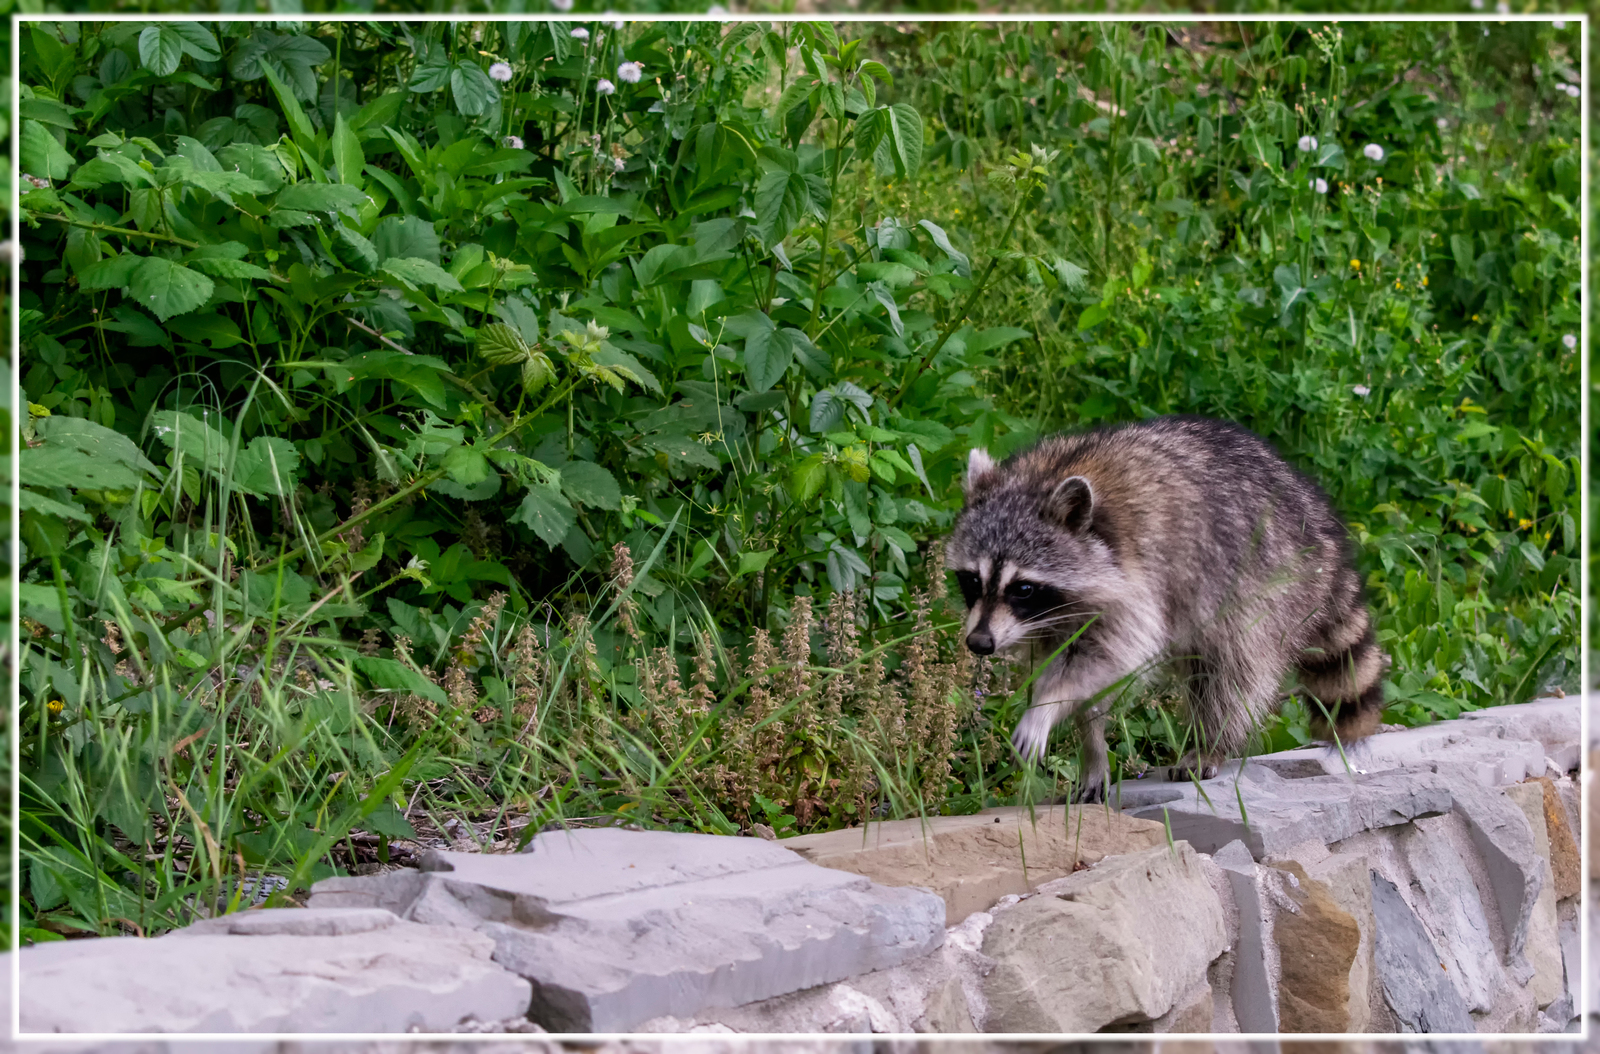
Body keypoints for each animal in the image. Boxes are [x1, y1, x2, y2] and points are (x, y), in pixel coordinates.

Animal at [947, 412, 1388, 799]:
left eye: (1022, 588)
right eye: (972, 580)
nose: (979, 643)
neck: (1044, 475)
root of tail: (1320, 524)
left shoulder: (1140, 584)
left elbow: (1108, 660)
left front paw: (1048, 705)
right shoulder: (1052, 618)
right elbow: (1080, 679)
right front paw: (1091, 744)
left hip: (1265, 584)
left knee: (1232, 673)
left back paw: (1211, 741)